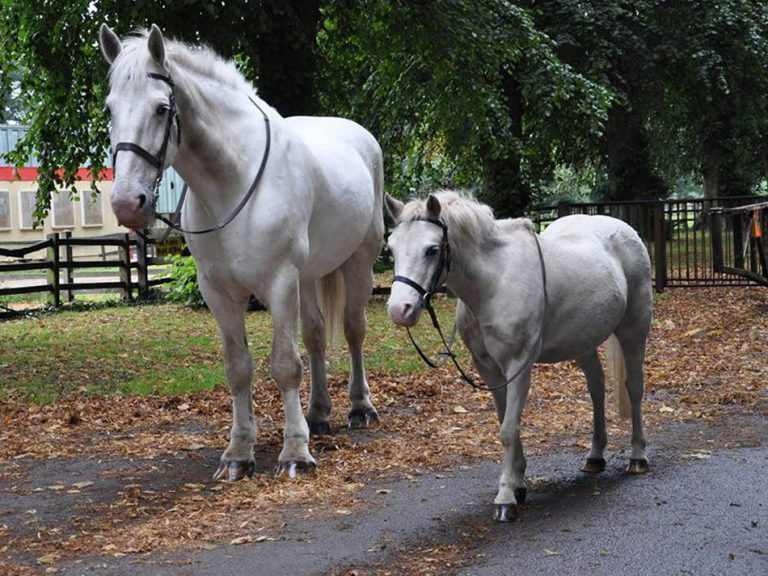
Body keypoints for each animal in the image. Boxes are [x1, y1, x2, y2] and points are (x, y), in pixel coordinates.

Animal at [99, 24, 384, 480]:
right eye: (110, 110)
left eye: (161, 108)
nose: (128, 203)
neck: (234, 178)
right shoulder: (219, 291)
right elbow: (238, 368)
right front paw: (238, 453)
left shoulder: (280, 283)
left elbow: (285, 365)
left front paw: (295, 453)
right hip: (308, 277)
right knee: (317, 337)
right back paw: (318, 414)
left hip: (358, 261)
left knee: (354, 329)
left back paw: (360, 408)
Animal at [385, 191, 653, 521]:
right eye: (391, 248)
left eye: (432, 249)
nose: (400, 309)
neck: (494, 282)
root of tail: (626, 230)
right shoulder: (489, 369)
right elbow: (505, 422)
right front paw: (519, 483)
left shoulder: (518, 366)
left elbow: (508, 430)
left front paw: (506, 498)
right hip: (583, 343)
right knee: (597, 389)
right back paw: (595, 455)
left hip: (634, 331)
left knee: (635, 388)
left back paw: (638, 456)